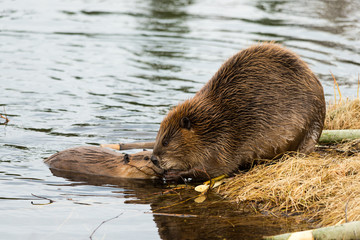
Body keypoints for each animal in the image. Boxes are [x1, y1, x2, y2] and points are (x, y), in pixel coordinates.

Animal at [152, 42, 326, 179]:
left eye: (165, 141)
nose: (153, 159)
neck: (211, 122)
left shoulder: (222, 143)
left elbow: (212, 169)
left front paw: (173, 174)